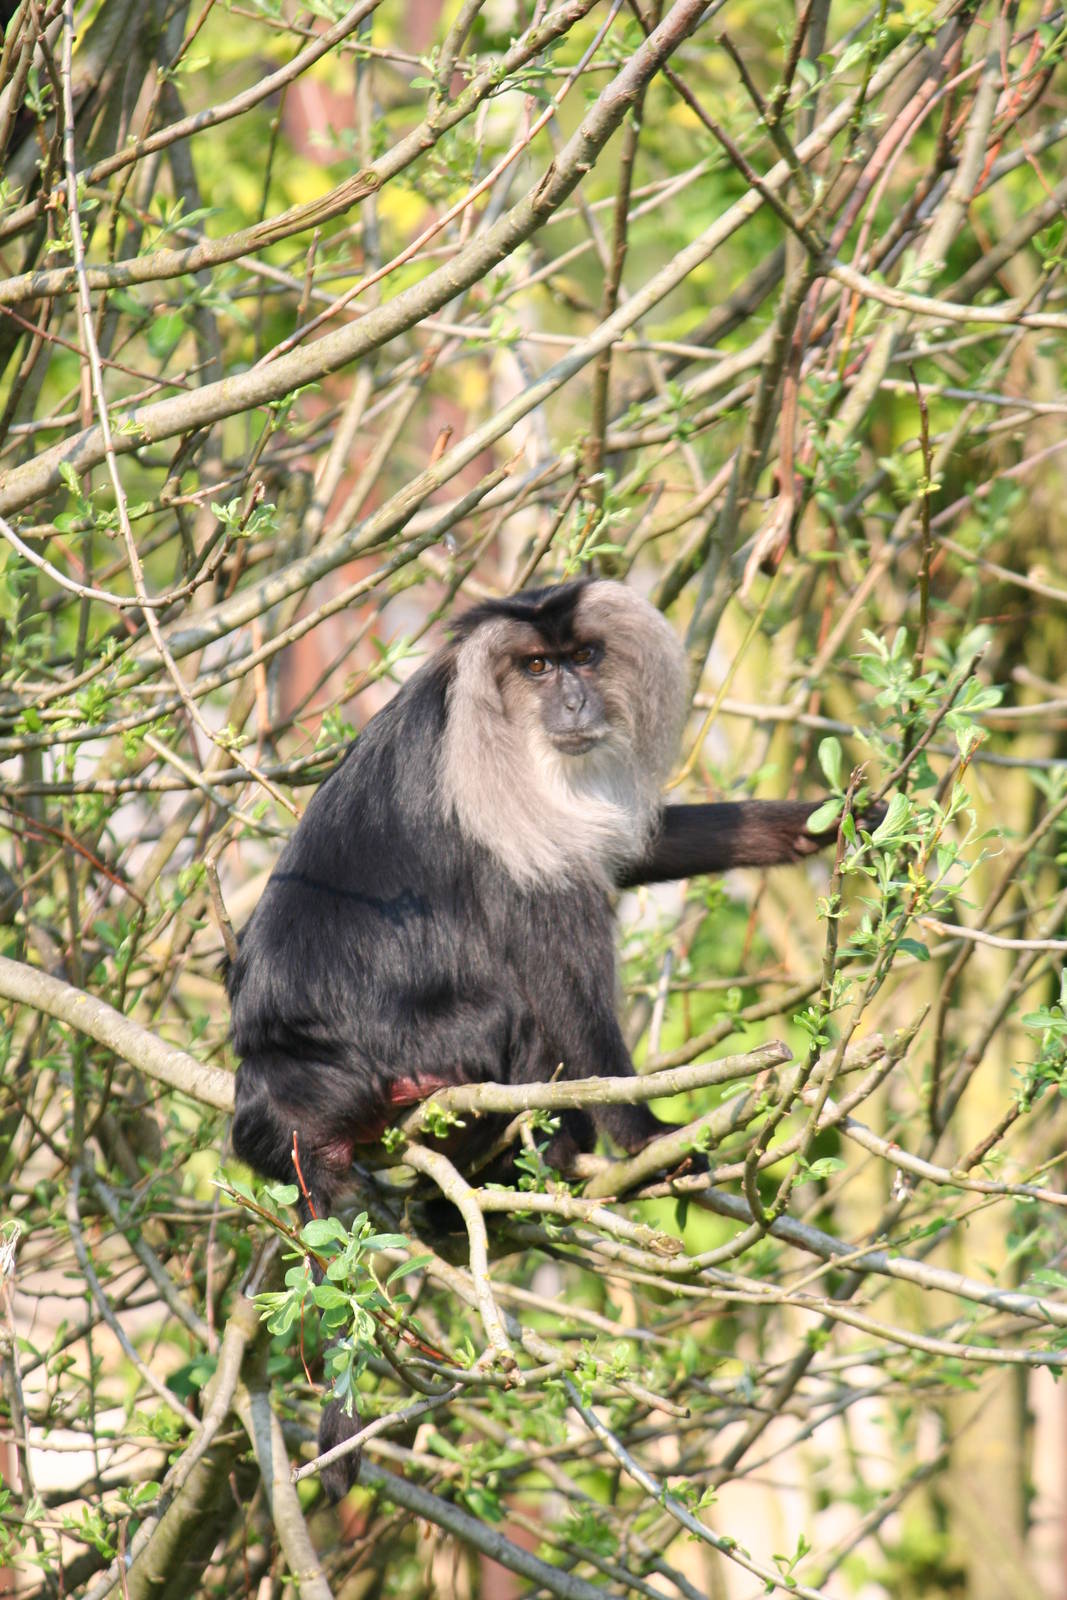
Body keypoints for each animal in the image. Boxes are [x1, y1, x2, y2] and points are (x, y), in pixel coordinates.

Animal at [226, 578, 868, 1498]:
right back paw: (539, 1160)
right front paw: (646, 1137)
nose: (571, 700)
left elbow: (630, 848)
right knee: (519, 1011)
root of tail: (283, 1079)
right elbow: (557, 962)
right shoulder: (503, 807)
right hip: (430, 1055)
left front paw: (825, 822)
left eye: (583, 658)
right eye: (535, 668)